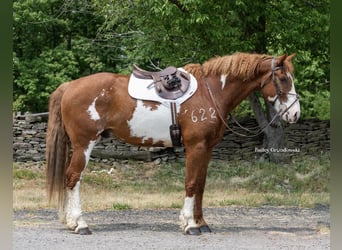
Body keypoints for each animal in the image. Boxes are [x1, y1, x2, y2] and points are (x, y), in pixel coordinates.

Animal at [45, 51, 300, 235]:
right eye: (283, 79)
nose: (295, 114)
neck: (211, 91)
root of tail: (69, 86)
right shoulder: (195, 146)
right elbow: (191, 183)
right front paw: (190, 225)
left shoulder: (207, 149)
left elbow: (201, 185)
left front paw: (201, 223)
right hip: (84, 145)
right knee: (73, 178)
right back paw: (80, 224)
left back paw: (70, 221)